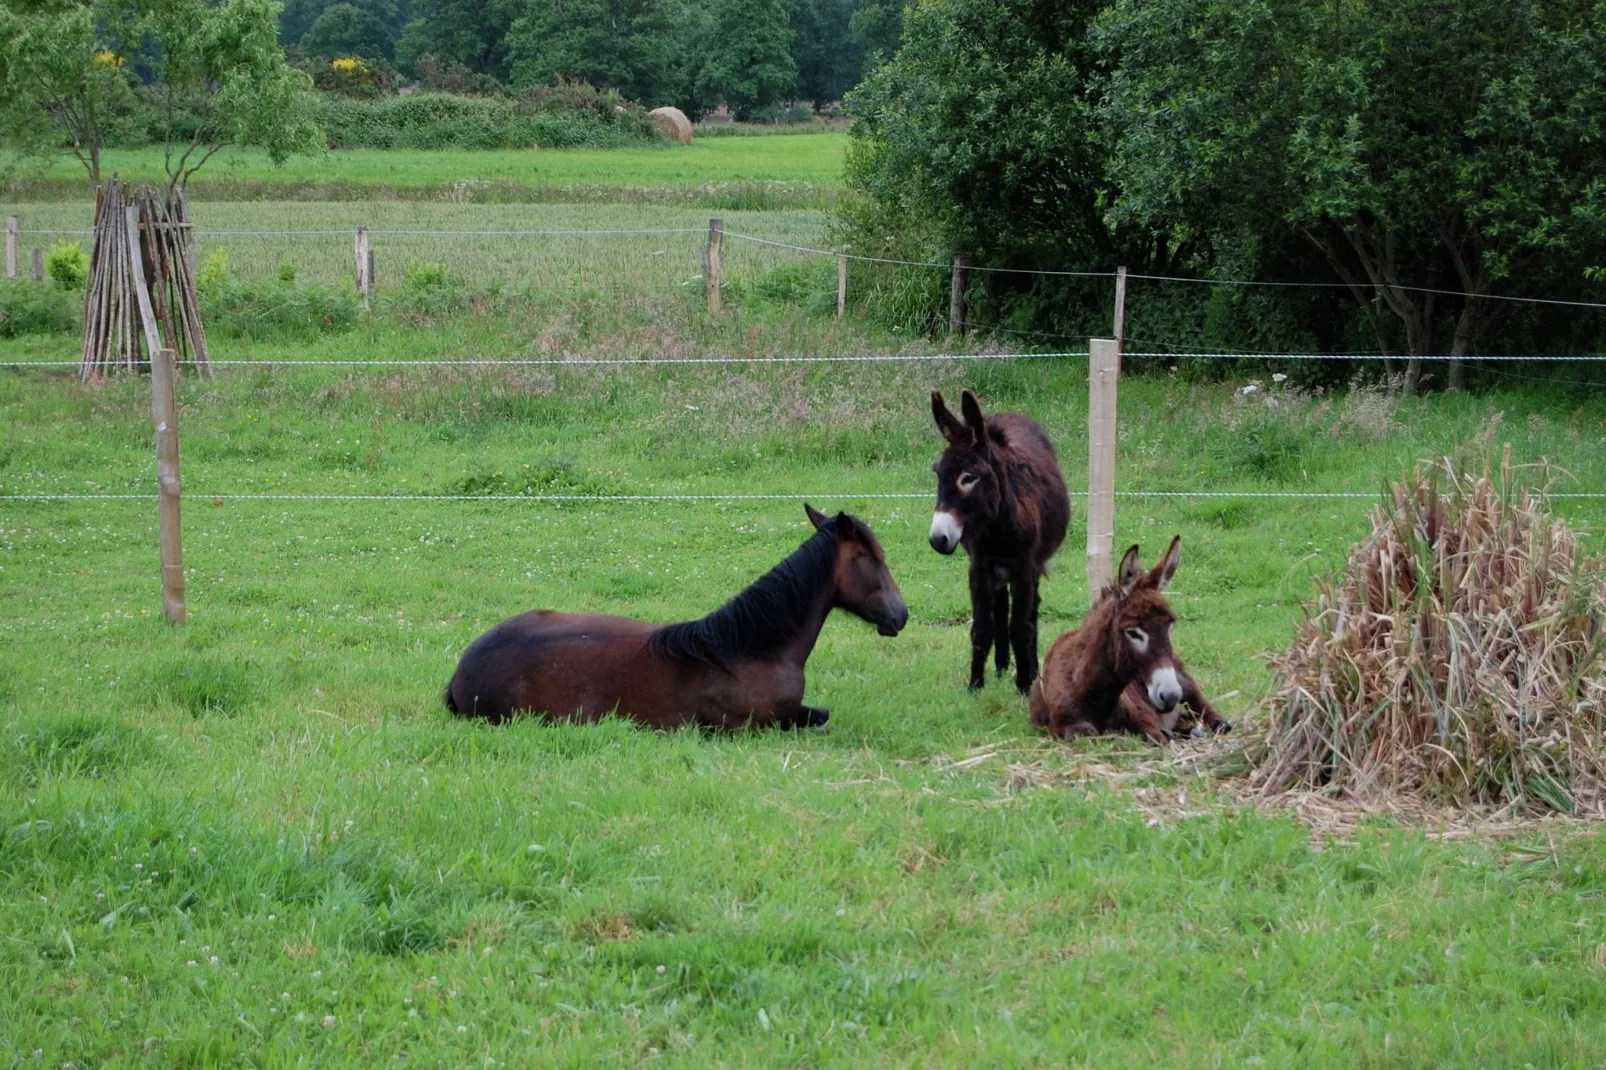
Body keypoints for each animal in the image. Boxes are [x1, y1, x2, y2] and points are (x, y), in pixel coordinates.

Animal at [1027, 533, 1226, 742]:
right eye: (1133, 632)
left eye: (1171, 625)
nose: (1170, 696)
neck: (1090, 692)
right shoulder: (1062, 727)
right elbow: (1086, 731)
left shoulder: (1147, 721)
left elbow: (1156, 738)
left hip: (1185, 683)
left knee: (1216, 719)